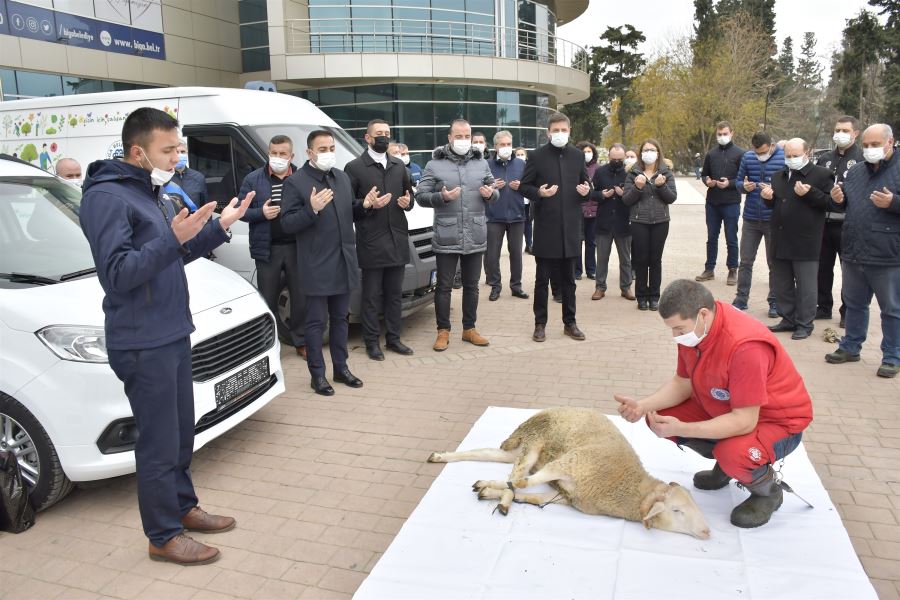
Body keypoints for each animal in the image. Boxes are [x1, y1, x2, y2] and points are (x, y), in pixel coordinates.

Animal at [428, 408, 712, 540]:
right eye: (677, 510)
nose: (707, 532)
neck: (625, 485)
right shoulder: (567, 463)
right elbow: (521, 482)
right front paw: (498, 492)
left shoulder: (568, 496)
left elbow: (530, 494)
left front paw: (489, 489)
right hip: (535, 442)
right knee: (516, 472)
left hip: (521, 449)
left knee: (487, 454)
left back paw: (443, 458)